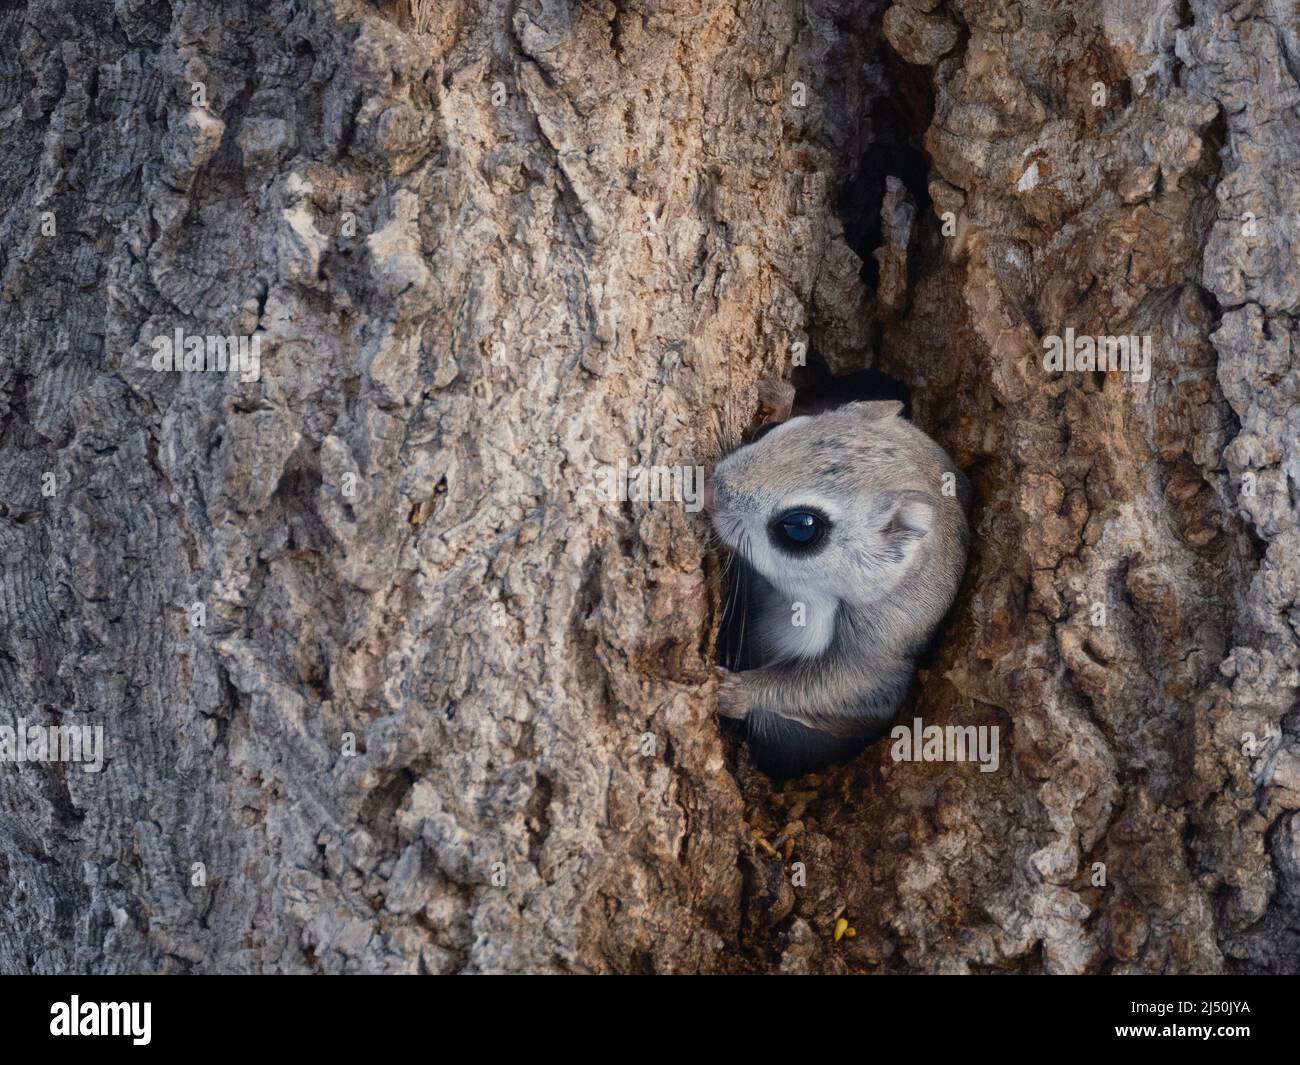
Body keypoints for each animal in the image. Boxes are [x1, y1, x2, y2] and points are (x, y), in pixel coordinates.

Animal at [707, 382, 972, 775]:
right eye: (769, 432)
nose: (708, 495)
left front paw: (735, 691)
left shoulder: (878, 644)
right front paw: (777, 398)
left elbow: (843, 687)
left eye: (801, 528)